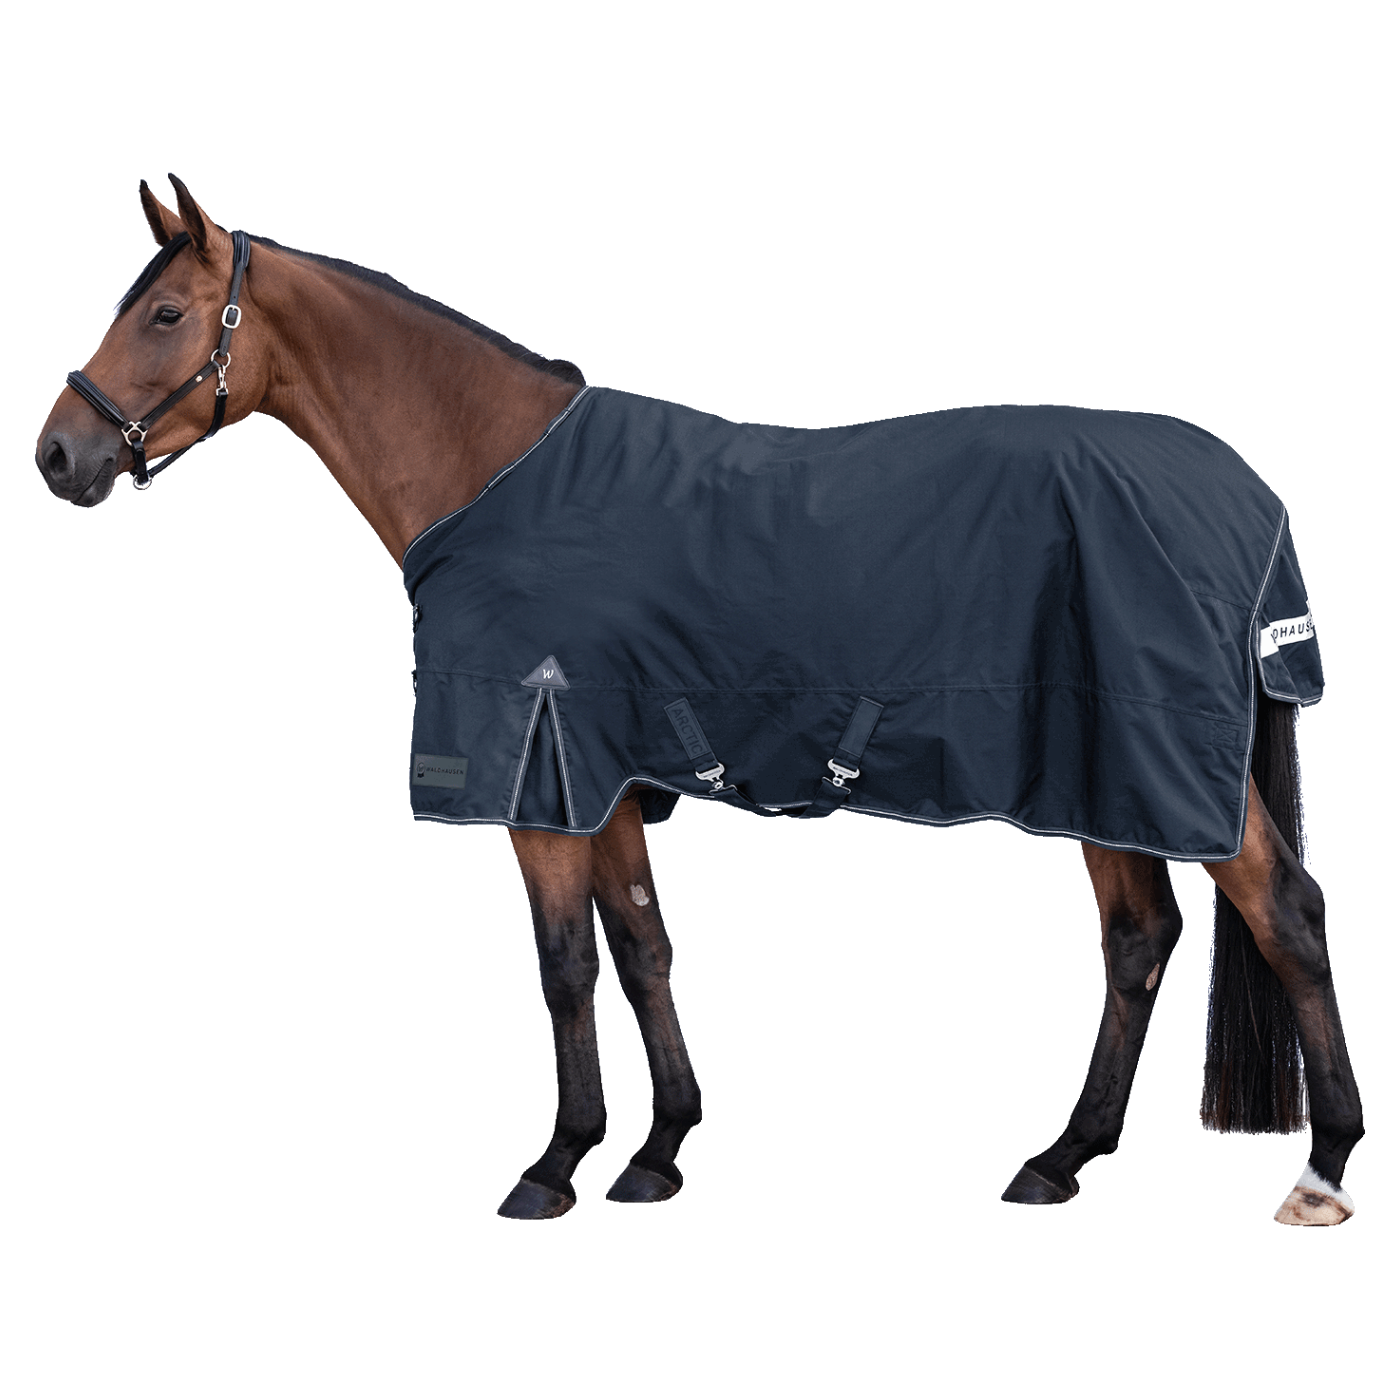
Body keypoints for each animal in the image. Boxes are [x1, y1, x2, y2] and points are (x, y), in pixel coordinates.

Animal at [35, 176, 1363, 1225]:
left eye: (163, 313)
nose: (57, 455)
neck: (495, 472)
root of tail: (1240, 491)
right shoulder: (605, 775)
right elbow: (641, 944)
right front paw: (658, 1150)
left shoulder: (538, 775)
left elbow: (565, 962)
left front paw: (553, 1165)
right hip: (1097, 768)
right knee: (1137, 940)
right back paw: (1059, 1158)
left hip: (1150, 760)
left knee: (1281, 914)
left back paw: (1322, 1170)